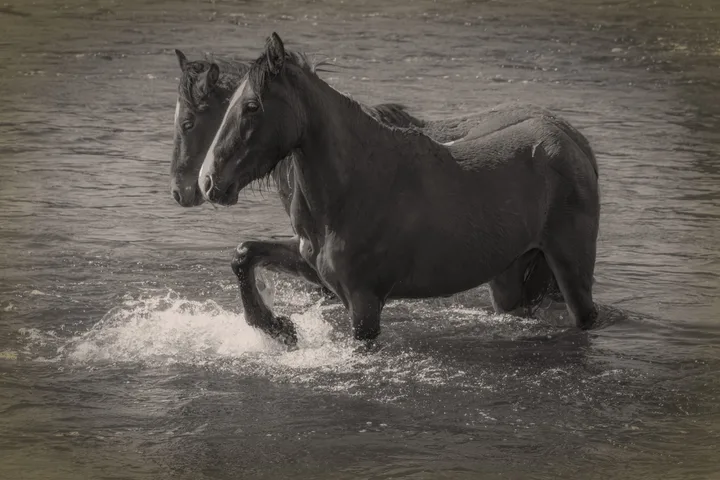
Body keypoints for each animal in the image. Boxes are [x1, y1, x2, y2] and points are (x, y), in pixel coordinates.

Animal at [197, 33, 600, 348]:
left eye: (251, 106)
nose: (207, 181)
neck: (353, 188)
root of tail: (571, 140)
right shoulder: (315, 268)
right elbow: (244, 253)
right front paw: (276, 327)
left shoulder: (364, 303)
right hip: (511, 276)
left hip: (571, 268)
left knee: (586, 317)